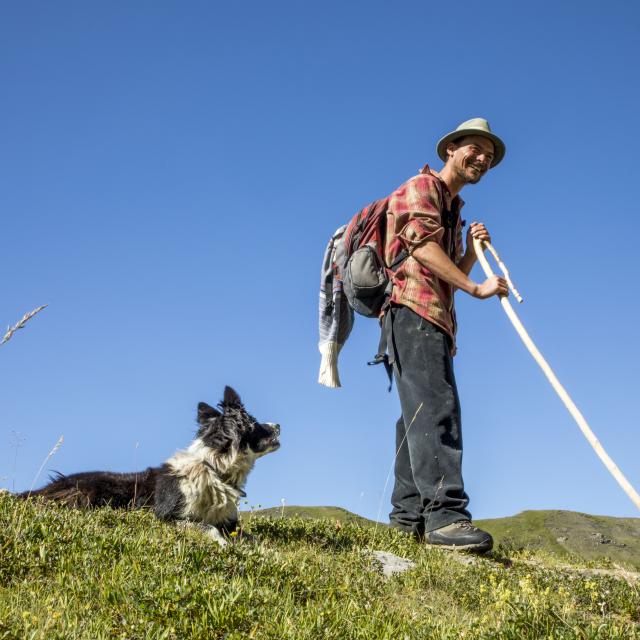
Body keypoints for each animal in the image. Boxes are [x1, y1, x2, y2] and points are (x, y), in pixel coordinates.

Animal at [21, 388, 280, 544]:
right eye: (255, 424)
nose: (278, 425)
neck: (212, 468)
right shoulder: (167, 517)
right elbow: (208, 528)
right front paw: (224, 544)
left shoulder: (229, 521)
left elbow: (254, 539)